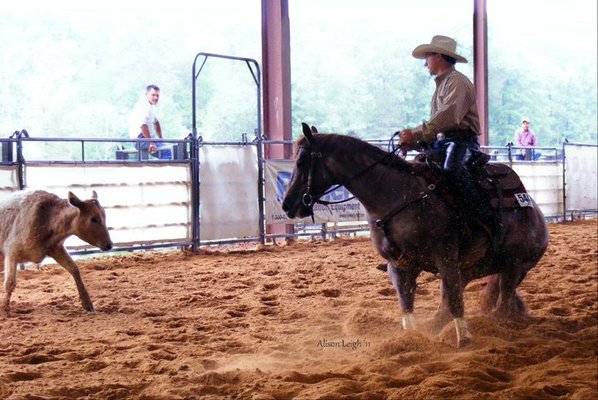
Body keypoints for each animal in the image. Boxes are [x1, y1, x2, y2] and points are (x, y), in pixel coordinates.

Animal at [284, 122, 552, 346]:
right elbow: (407, 303)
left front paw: (464, 339)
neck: (396, 195)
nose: (287, 205)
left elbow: (455, 300)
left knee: (502, 306)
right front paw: (412, 339)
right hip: (471, 269)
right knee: (446, 307)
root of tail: (534, 210)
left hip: (512, 266)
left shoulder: (445, 257)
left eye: (301, 163)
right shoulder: (400, 265)